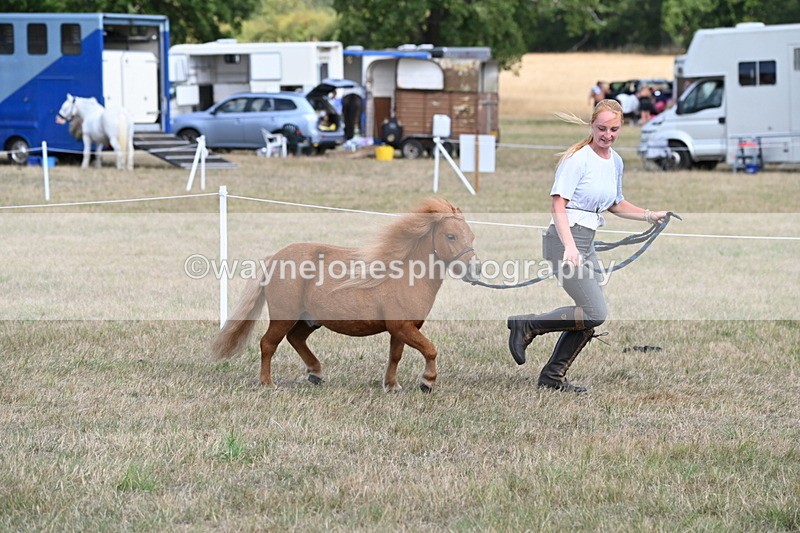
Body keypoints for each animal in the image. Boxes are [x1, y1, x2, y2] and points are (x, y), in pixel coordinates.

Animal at [211, 197, 481, 392]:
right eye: (450, 236)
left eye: (472, 236)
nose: (475, 269)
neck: (405, 274)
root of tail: (274, 258)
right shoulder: (402, 326)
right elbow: (430, 349)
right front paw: (427, 381)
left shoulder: (401, 329)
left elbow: (395, 356)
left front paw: (392, 385)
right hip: (284, 316)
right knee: (268, 343)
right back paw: (268, 383)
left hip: (310, 319)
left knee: (296, 339)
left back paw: (316, 373)